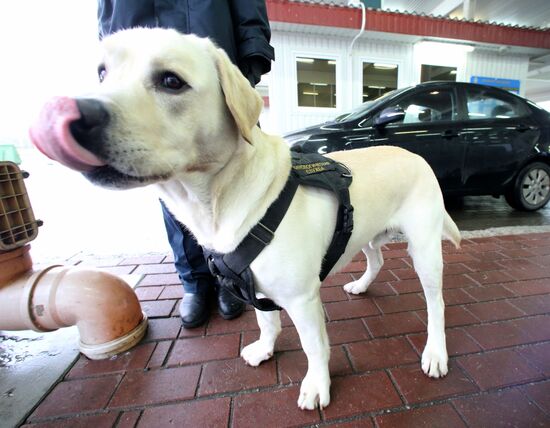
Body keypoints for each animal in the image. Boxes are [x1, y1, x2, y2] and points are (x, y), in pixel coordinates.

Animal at [30, 28, 462, 410]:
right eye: (102, 73)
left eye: (171, 81)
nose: (71, 113)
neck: (219, 201)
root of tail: (415, 155)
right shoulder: (248, 283)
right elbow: (266, 323)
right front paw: (265, 350)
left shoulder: (302, 299)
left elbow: (314, 346)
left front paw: (317, 386)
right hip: (365, 233)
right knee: (377, 258)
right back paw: (361, 285)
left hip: (425, 251)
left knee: (437, 304)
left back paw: (435, 353)